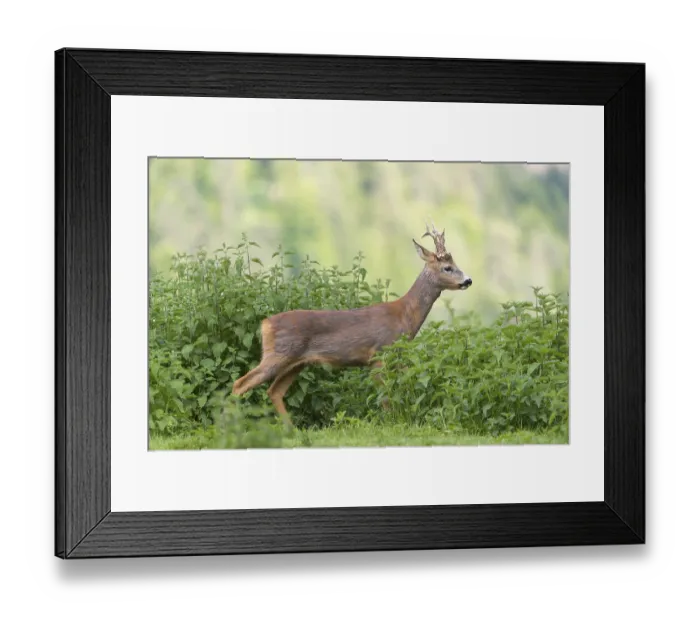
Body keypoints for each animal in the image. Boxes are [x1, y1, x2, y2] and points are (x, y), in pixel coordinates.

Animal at [232, 222, 472, 427]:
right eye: (447, 267)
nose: (468, 280)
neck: (404, 316)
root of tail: (265, 324)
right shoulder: (379, 353)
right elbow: (385, 396)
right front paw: (390, 423)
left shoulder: (396, 356)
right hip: (278, 354)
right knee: (240, 384)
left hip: (296, 362)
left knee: (274, 391)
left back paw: (292, 430)